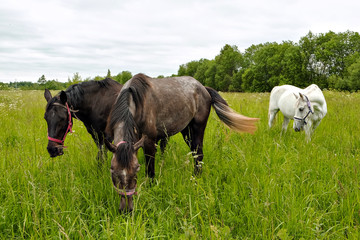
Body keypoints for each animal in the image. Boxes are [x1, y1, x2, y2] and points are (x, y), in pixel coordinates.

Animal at [104, 73, 258, 212]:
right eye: (112, 170)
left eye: (136, 169)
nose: (126, 209)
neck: (136, 102)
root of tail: (203, 87)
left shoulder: (149, 142)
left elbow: (150, 168)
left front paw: (151, 187)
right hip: (186, 131)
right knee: (195, 153)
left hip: (197, 128)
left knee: (199, 154)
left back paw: (196, 178)